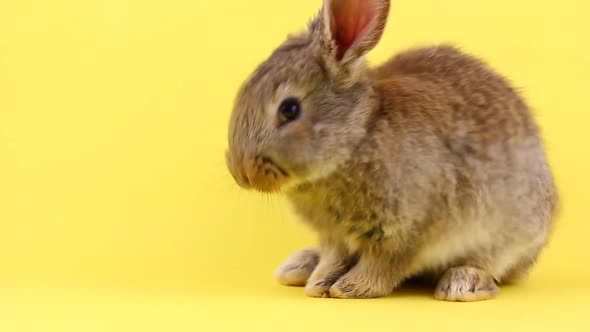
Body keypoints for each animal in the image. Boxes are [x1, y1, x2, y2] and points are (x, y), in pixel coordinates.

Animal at [227, 0, 560, 300]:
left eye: (289, 109)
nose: (242, 173)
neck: (356, 140)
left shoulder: (408, 231)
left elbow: (384, 265)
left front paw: (351, 288)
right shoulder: (335, 238)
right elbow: (334, 258)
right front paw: (320, 283)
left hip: (510, 235)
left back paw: (463, 284)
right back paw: (299, 266)